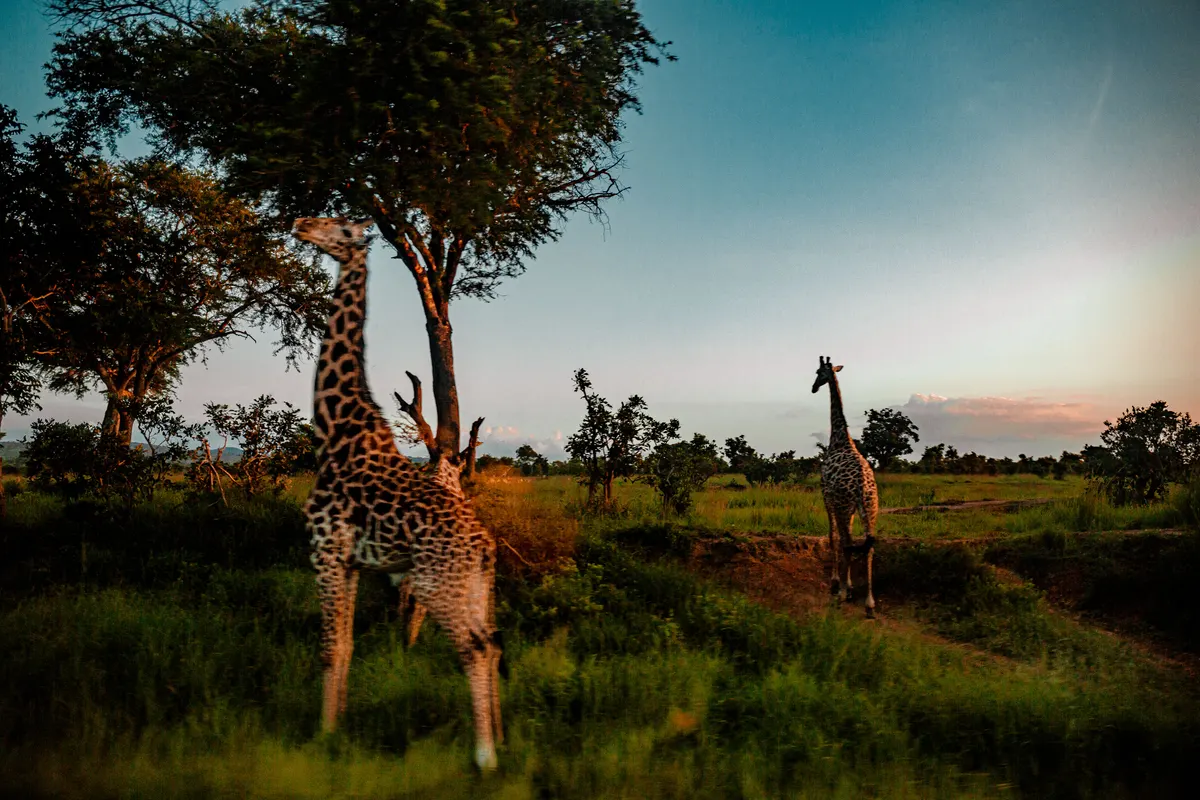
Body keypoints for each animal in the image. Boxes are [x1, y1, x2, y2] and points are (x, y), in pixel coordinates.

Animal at [292, 216, 502, 770]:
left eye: (339, 226)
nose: (300, 223)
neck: (333, 431)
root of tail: (485, 546)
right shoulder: (351, 562)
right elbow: (345, 645)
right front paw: (339, 727)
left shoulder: (326, 551)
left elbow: (330, 647)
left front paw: (323, 735)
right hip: (473, 584)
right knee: (493, 644)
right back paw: (503, 738)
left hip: (437, 584)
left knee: (475, 648)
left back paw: (485, 757)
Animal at [811, 356, 878, 618]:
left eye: (818, 372)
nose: (813, 388)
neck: (840, 439)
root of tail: (861, 486)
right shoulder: (849, 508)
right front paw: (847, 585)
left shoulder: (826, 496)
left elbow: (833, 537)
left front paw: (837, 583)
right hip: (871, 508)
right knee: (869, 545)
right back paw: (869, 604)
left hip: (842, 504)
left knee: (848, 543)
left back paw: (842, 595)